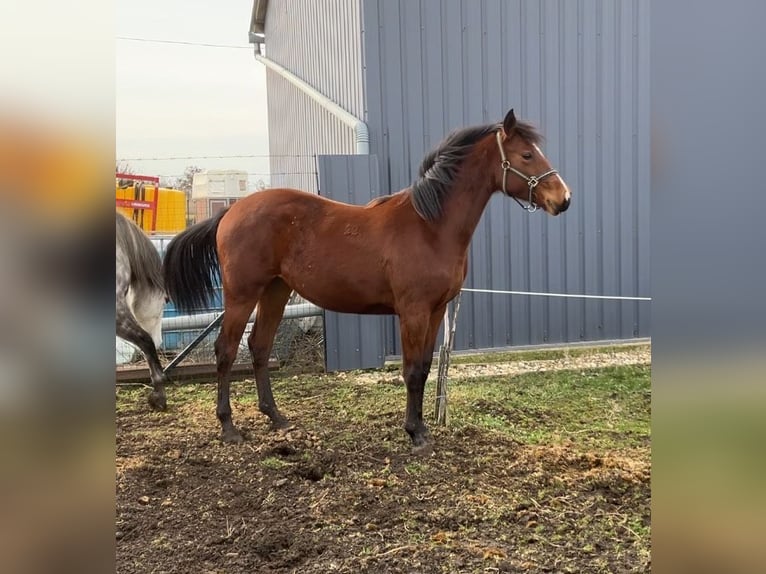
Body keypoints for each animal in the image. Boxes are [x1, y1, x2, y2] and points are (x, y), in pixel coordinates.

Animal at [164, 110, 568, 454]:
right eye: (527, 155)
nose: (563, 199)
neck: (430, 227)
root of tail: (231, 211)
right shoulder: (413, 312)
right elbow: (411, 371)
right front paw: (415, 434)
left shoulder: (437, 311)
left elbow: (424, 368)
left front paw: (422, 428)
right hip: (242, 294)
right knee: (227, 351)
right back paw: (228, 427)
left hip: (276, 290)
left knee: (259, 347)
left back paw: (276, 418)